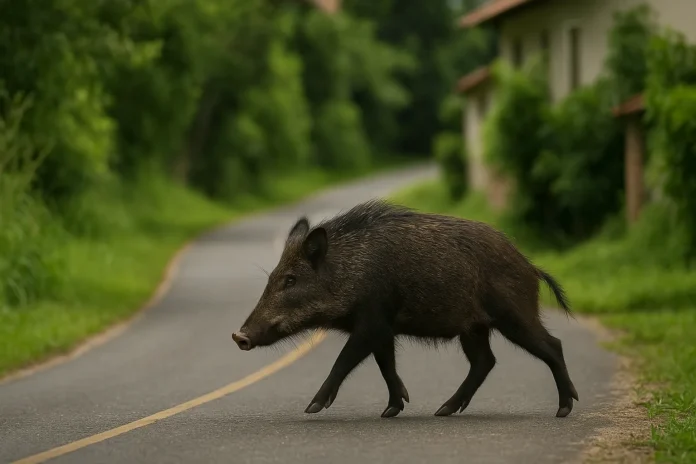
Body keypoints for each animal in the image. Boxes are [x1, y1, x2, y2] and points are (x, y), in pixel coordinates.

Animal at [232, 199, 579, 419]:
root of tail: (531, 267)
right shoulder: (383, 329)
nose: (239, 336)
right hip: (473, 328)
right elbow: (386, 364)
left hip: (514, 314)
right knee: (485, 361)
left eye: (290, 280)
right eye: (272, 277)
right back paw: (443, 410)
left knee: (553, 345)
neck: (348, 272)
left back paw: (563, 409)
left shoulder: (372, 322)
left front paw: (312, 408)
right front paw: (392, 410)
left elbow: (344, 360)